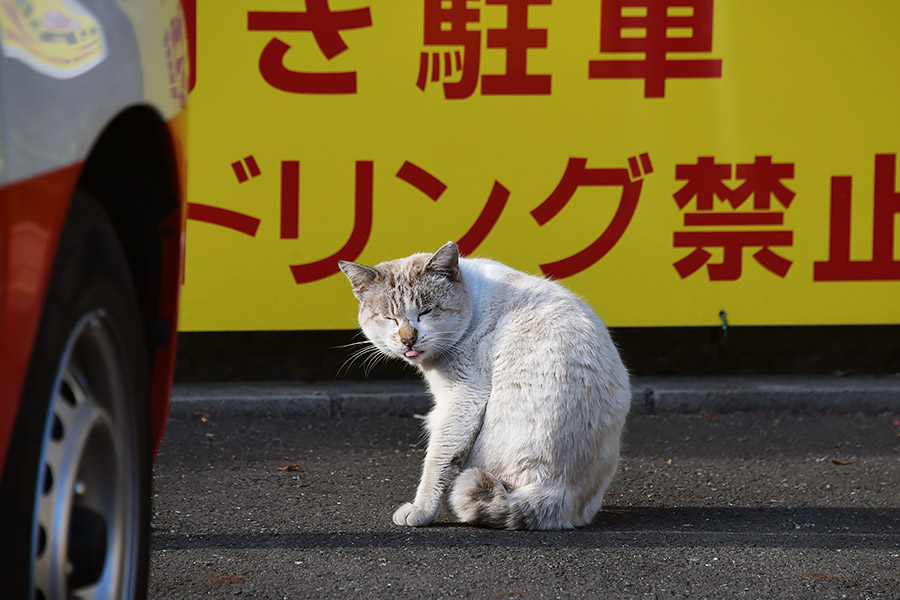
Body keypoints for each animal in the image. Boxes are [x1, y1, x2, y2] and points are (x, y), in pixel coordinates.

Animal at [340, 240, 632, 528]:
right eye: (389, 318)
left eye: (426, 312)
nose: (408, 339)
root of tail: (557, 493)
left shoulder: (462, 397)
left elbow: (437, 461)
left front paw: (421, 510)